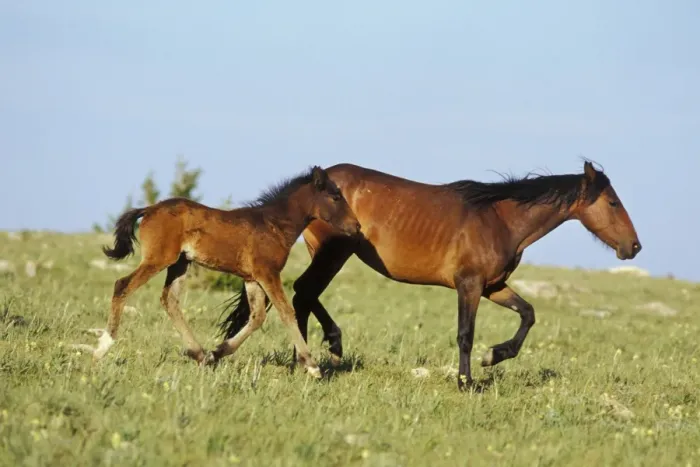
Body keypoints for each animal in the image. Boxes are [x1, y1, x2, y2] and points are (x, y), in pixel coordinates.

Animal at [74, 166, 362, 379]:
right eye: (336, 197)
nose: (357, 226)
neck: (274, 224)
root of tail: (149, 209)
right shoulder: (268, 273)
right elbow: (286, 312)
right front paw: (312, 366)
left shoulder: (252, 278)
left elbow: (257, 317)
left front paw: (217, 352)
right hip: (159, 258)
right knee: (123, 285)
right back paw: (102, 349)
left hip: (179, 264)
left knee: (169, 299)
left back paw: (200, 354)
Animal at [219, 160, 641, 390]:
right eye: (613, 202)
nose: (634, 247)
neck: (500, 219)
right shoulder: (469, 285)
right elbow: (465, 334)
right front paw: (467, 381)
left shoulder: (493, 286)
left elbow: (528, 314)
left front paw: (495, 356)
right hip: (333, 253)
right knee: (304, 292)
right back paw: (315, 355)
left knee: (304, 296)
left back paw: (312, 355)